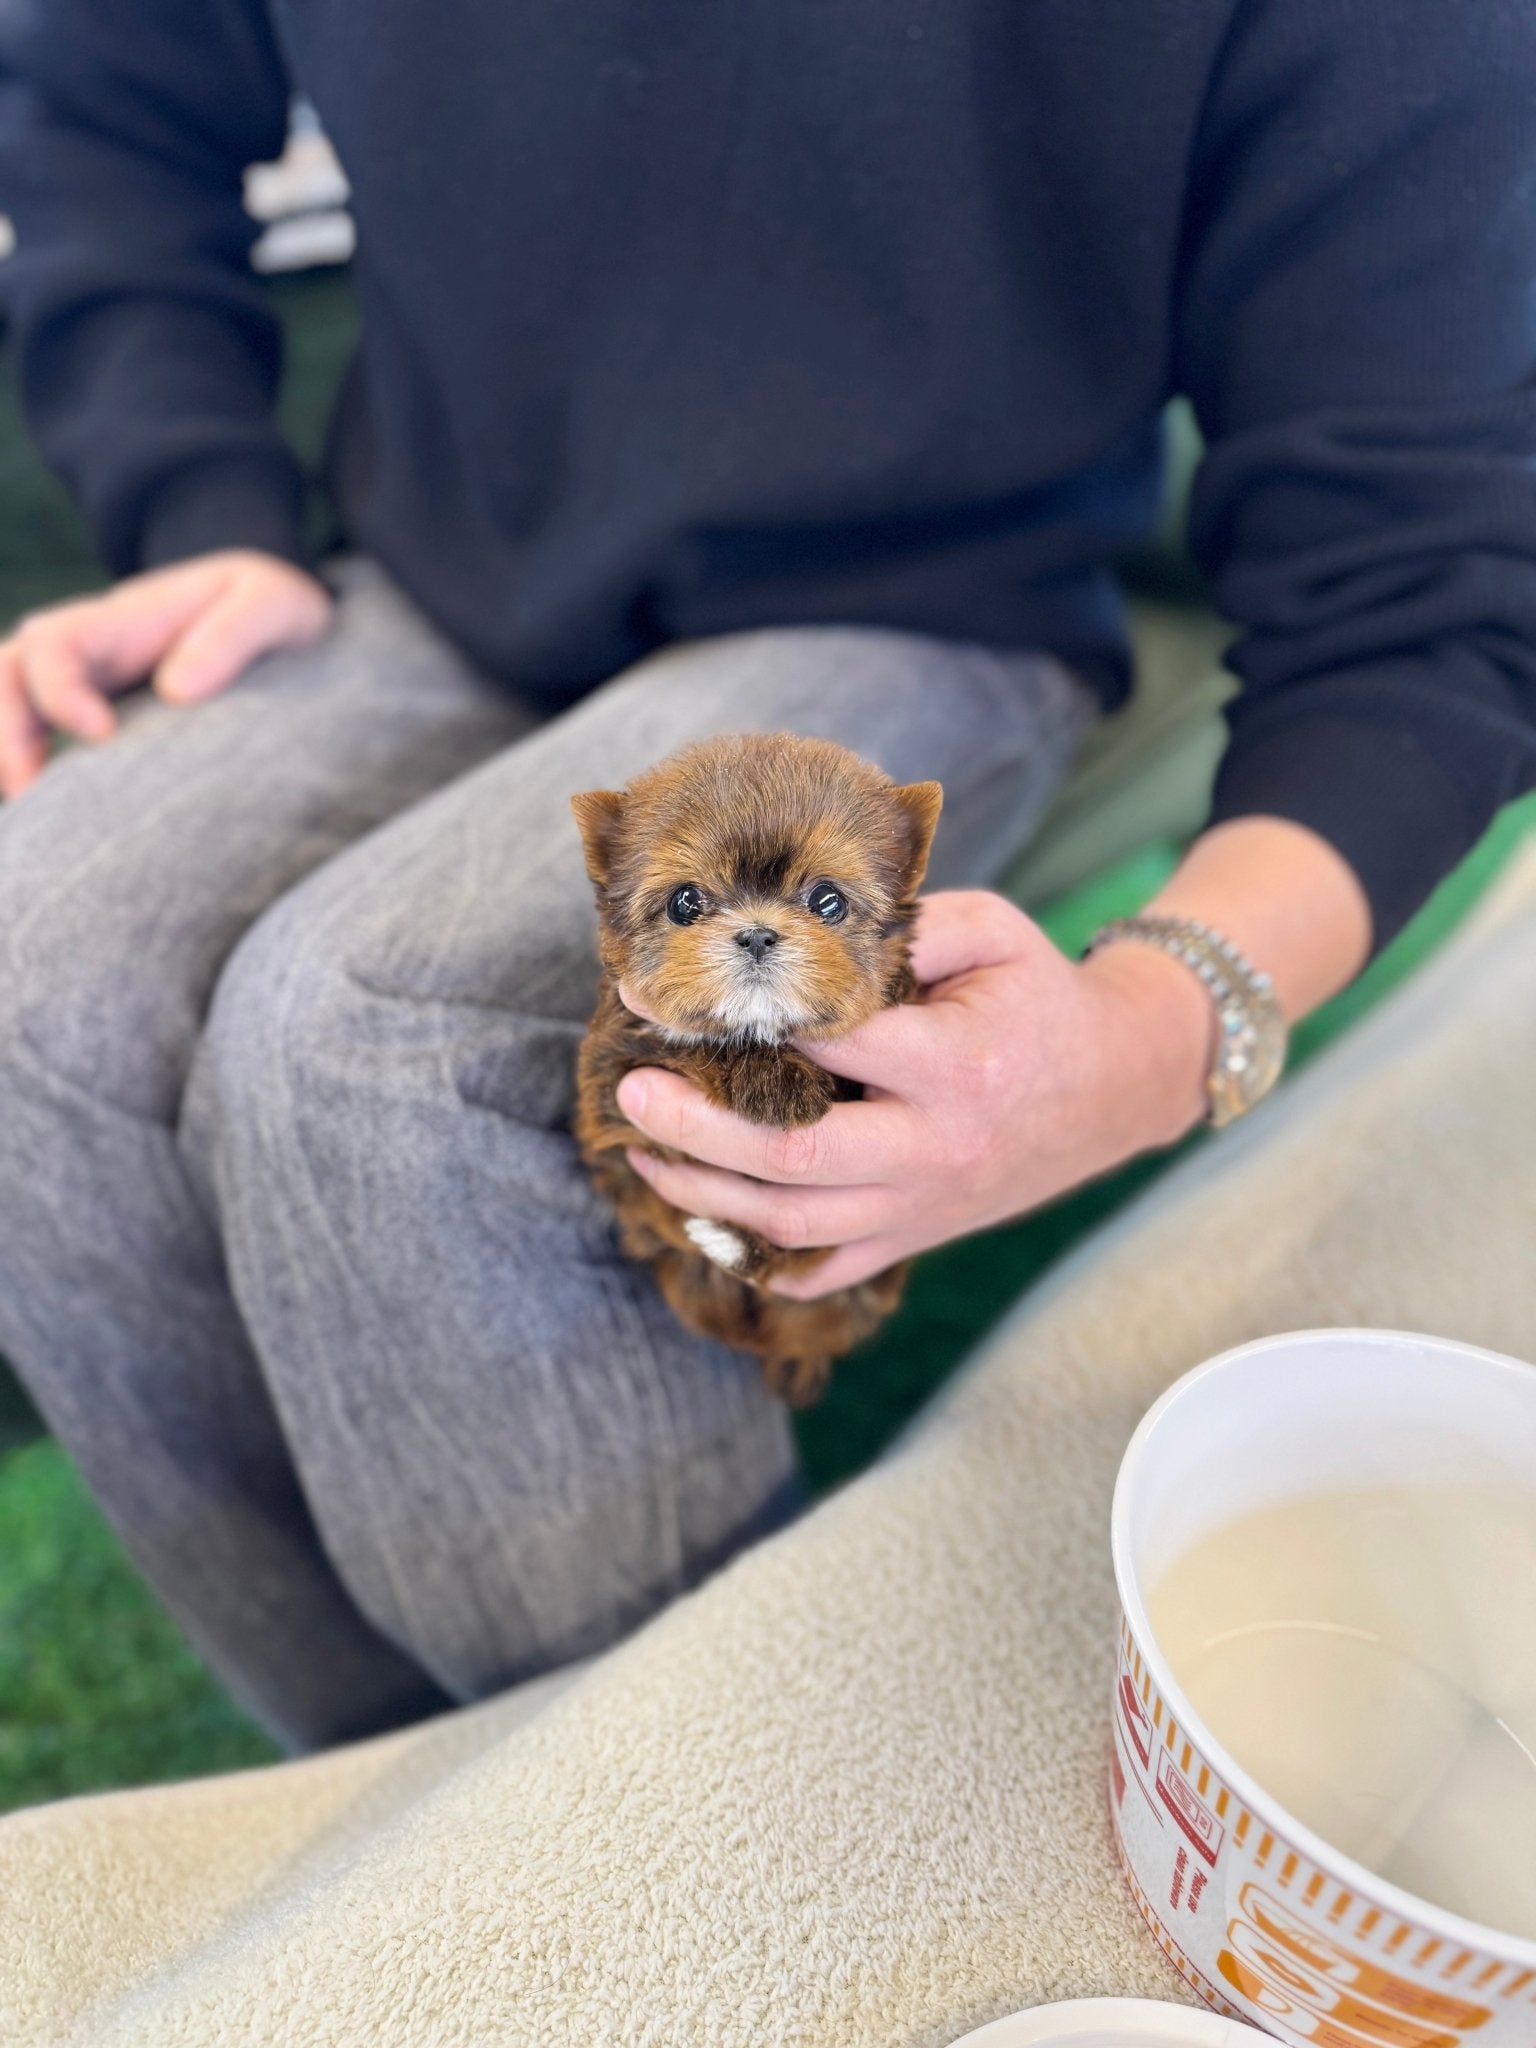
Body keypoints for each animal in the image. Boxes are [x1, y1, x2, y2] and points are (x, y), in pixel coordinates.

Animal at [573, 733, 946, 1409]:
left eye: (827, 900)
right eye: (685, 902)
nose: (755, 935)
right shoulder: (608, 1083)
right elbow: (683, 1043)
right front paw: (772, 1080)